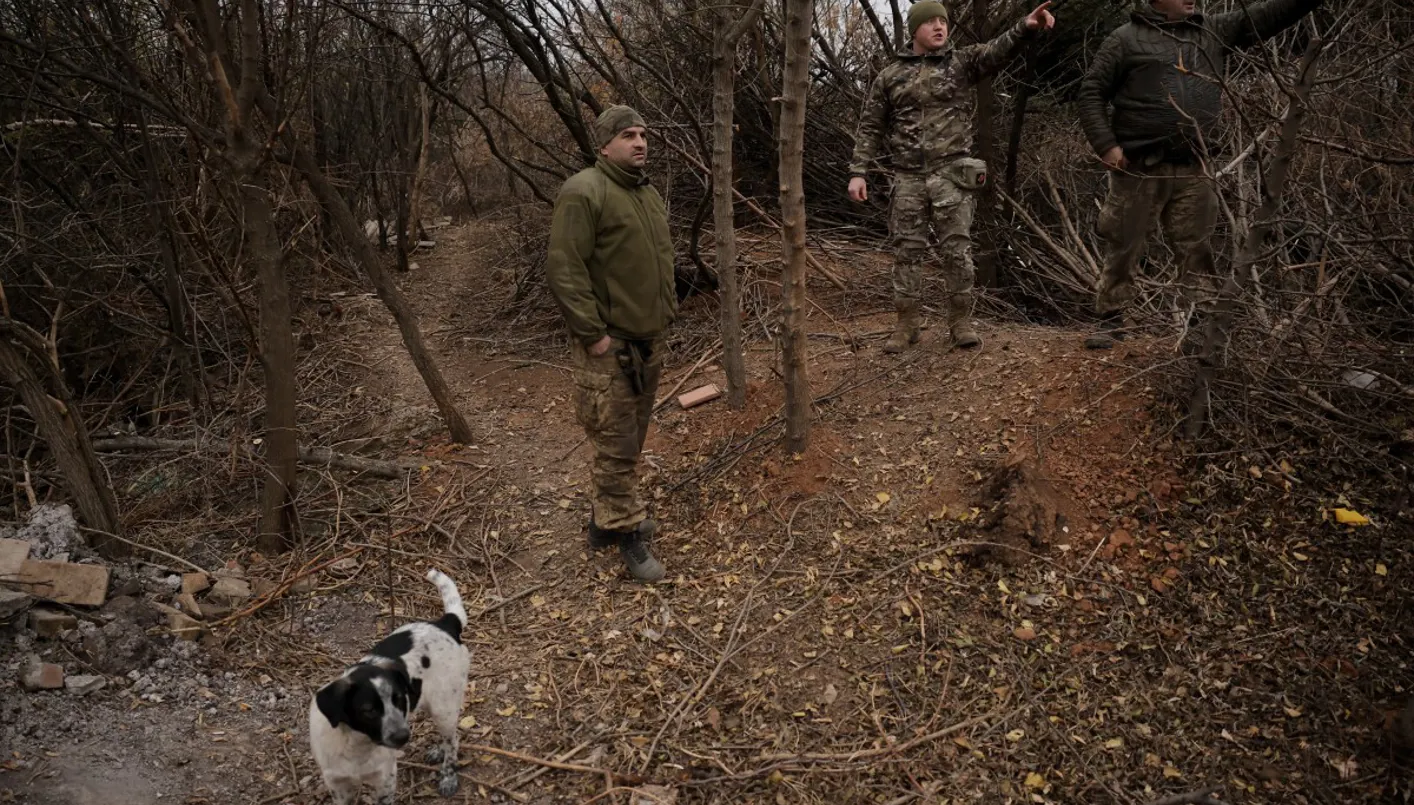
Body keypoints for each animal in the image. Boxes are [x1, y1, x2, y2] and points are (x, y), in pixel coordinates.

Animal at [309, 568, 469, 797]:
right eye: (368, 710)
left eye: (399, 699)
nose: (403, 737)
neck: (357, 745)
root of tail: (445, 622)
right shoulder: (338, 786)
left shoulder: (385, 780)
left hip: (444, 707)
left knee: (453, 740)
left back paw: (448, 775)